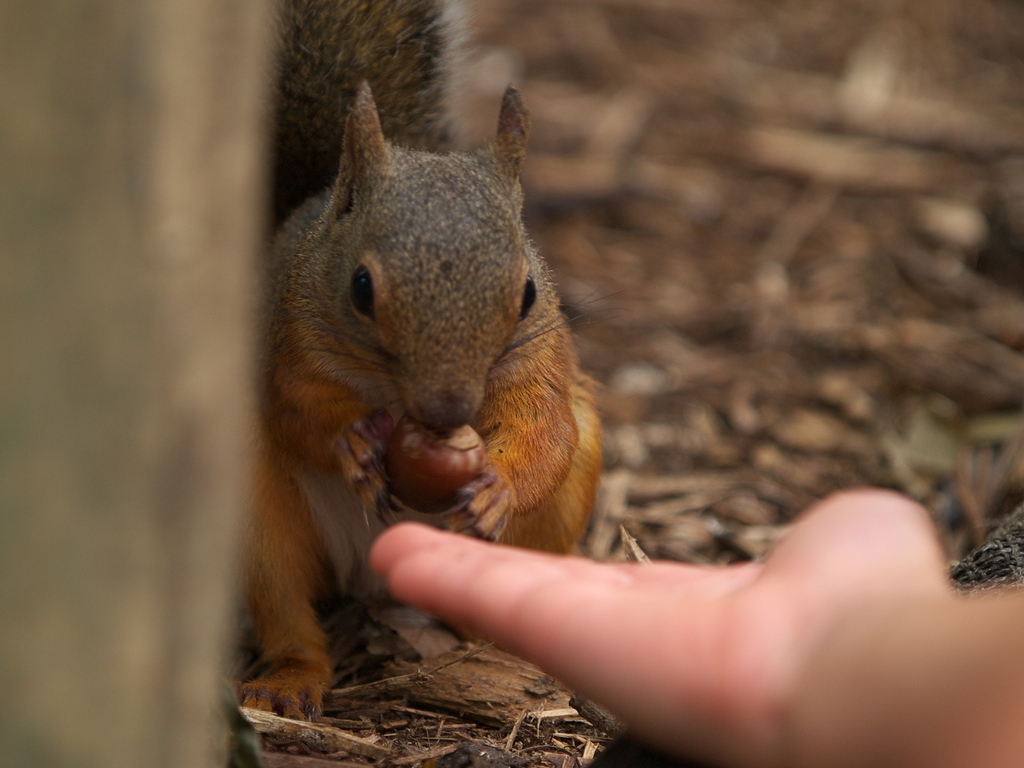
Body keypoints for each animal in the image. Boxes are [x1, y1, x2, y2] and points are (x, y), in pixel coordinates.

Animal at [238, 0, 598, 720]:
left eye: (528, 293)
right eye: (360, 288)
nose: (447, 409)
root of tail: (376, 578)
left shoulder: (540, 361)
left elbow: (548, 434)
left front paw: (498, 486)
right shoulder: (287, 344)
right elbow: (294, 411)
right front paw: (350, 441)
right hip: (263, 525)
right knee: (287, 605)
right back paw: (288, 680)